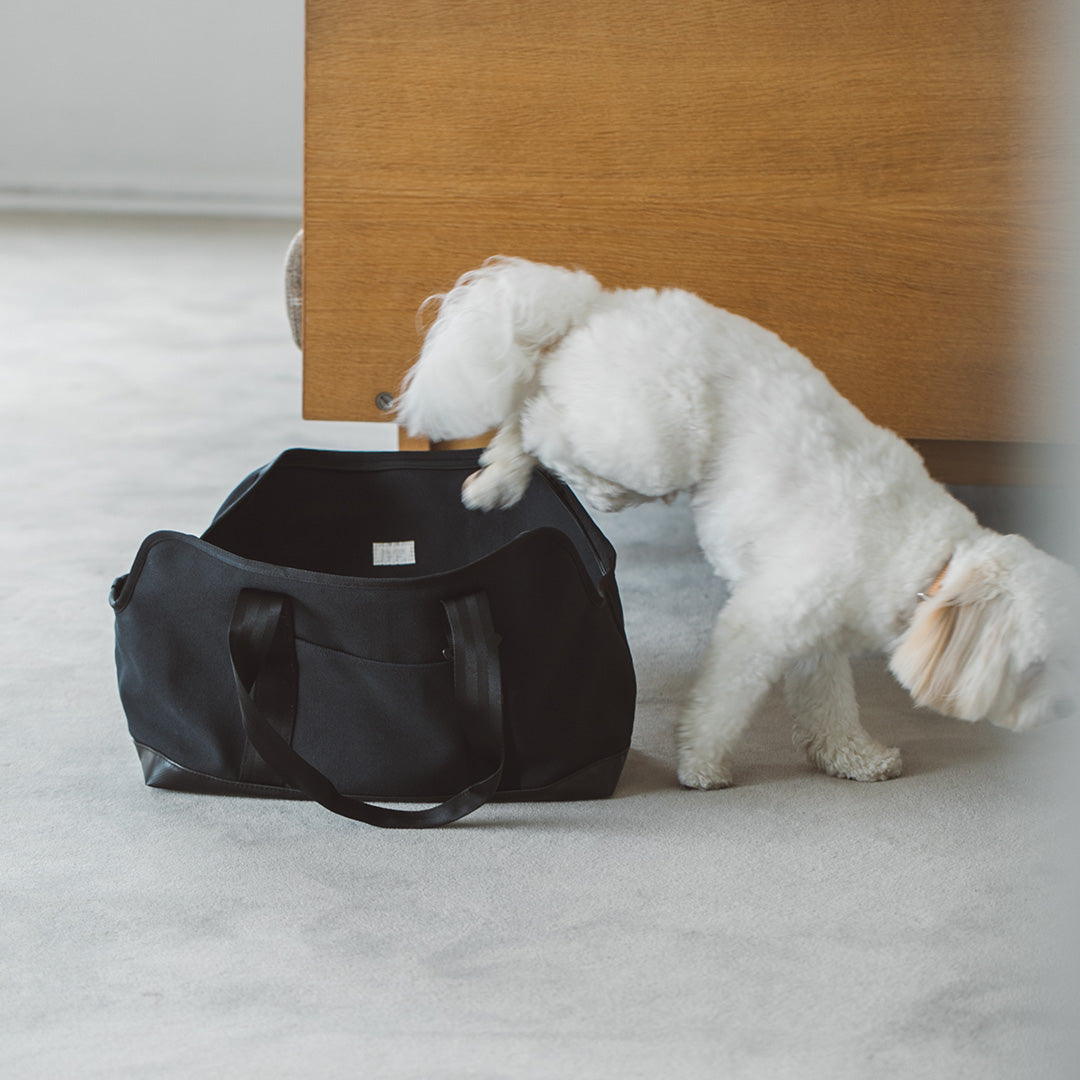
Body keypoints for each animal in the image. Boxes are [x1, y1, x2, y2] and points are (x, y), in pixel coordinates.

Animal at [396, 256, 1080, 788]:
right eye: (1035, 667)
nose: (1064, 710)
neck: (927, 564)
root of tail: (600, 303)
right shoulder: (761, 624)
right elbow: (722, 704)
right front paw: (700, 765)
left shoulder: (816, 638)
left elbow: (829, 704)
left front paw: (852, 756)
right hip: (651, 445)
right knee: (541, 421)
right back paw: (572, 480)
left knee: (526, 419)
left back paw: (496, 481)